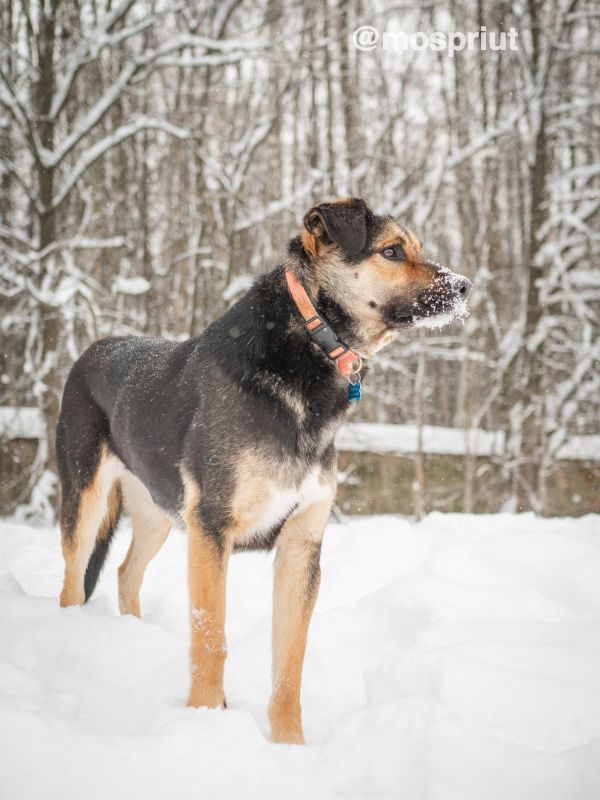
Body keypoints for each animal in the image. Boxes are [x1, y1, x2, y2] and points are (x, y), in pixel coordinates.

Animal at [56, 198, 472, 744]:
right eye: (391, 251)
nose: (466, 287)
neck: (311, 344)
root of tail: (91, 348)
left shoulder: (301, 544)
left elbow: (290, 663)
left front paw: (290, 746)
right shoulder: (211, 529)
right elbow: (210, 639)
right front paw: (206, 722)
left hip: (159, 513)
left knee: (127, 572)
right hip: (85, 500)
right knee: (73, 577)